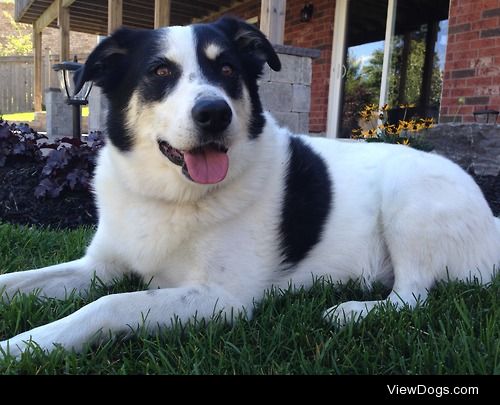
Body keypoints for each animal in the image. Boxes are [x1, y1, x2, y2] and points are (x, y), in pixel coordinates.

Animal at [0, 17, 500, 356]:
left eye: (227, 70)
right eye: (160, 72)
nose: (214, 114)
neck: (169, 194)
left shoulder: (224, 299)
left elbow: (108, 305)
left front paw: (21, 346)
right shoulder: (99, 266)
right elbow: (22, 280)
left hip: (409, 194)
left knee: (412, 296)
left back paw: (353, 311)